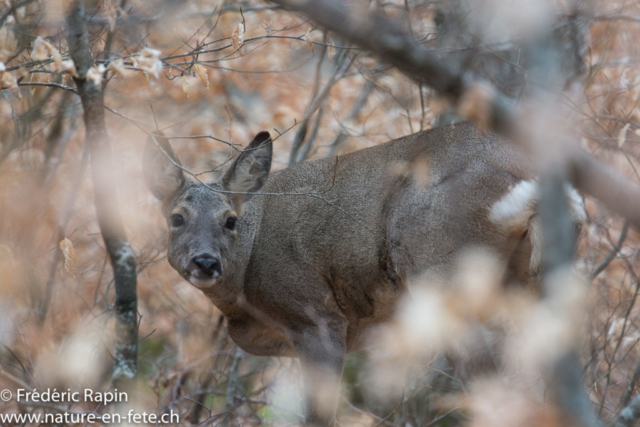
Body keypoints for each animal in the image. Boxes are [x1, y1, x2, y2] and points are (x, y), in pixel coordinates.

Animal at [144, 122, 584, 426]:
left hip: (442, 272)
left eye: (230, 220)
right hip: (535, 282)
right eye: (177, 217)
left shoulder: (316, 315)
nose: (205, 262)